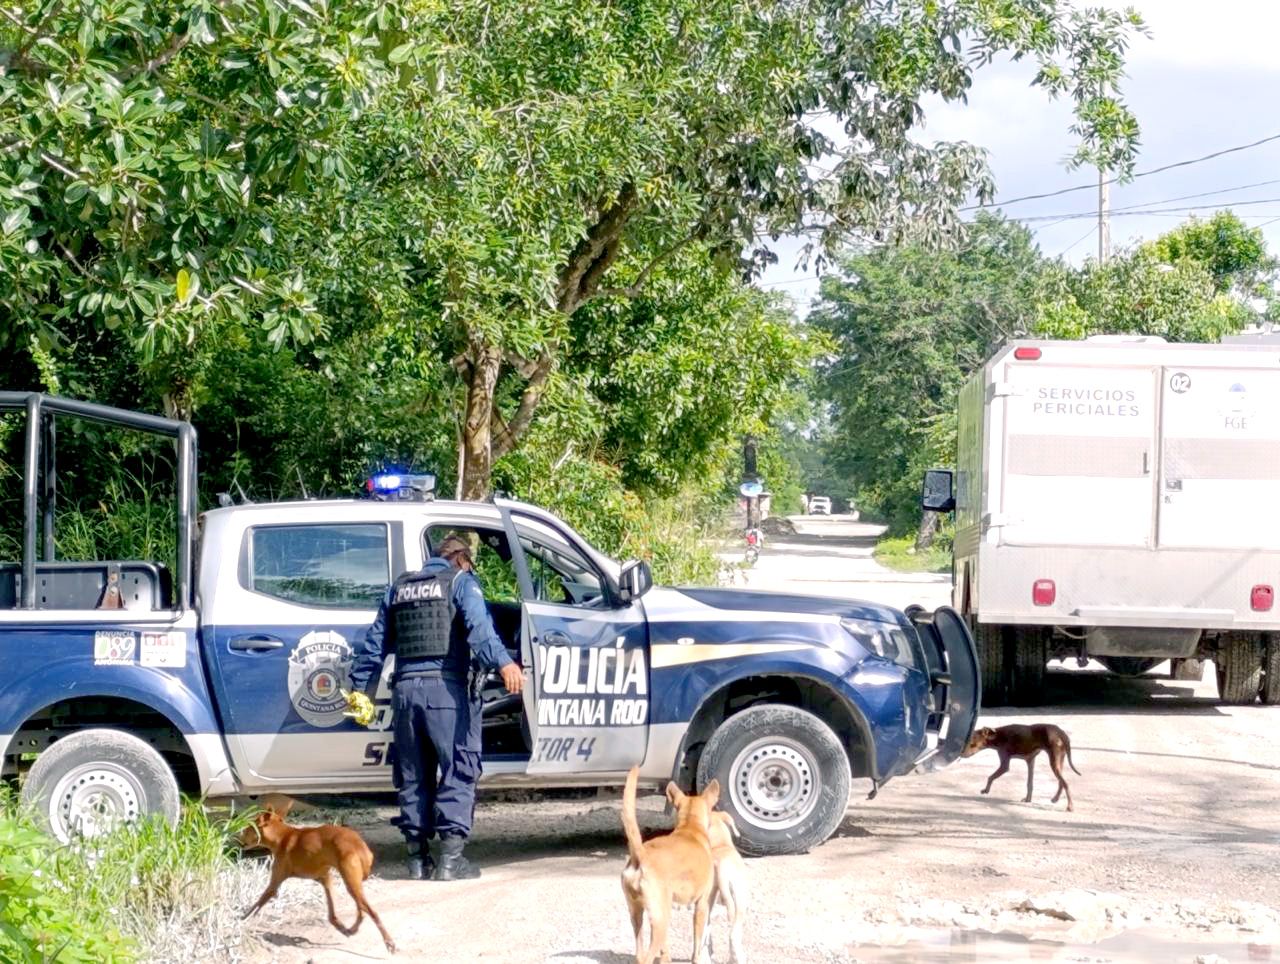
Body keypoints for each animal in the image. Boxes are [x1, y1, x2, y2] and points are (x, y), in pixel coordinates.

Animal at [240, 798, 394, 952]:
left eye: (248, 828)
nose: (240, 841)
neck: (282, 836)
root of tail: (359, 845)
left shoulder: (274, 884)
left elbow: (257, 904)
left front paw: (240, 920)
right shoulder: (325, 879)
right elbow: (331, 915)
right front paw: (341, 927)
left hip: (351, 884)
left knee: (372, 913)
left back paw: (389, 942)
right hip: (354, 885)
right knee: (361, 912)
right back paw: (352, 929)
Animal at [619, 768, 721, 962]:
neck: (690, 828)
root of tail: (640, 855)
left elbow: (665, 949)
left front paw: (666, 958)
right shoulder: (701, 905)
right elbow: (697, 944)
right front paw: (697, 958)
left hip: (638, 914)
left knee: (640, 955)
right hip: (661, 919)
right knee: (647, 957)